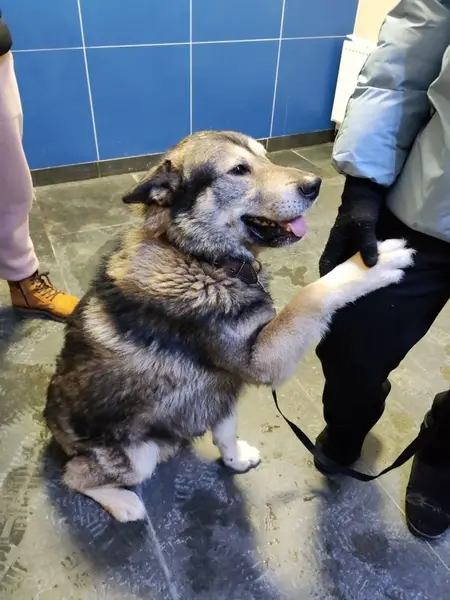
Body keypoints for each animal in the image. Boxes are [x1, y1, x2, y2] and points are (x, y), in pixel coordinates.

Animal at [44, 131, 414, 522]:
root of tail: (53, 432)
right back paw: (123, 503)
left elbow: (225, 431)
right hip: (134, 455)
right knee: (74, 476)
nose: (314, 184)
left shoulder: (225, 388)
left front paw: (235, 460)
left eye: (267, 157)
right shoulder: (262, 361)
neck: (200, 259)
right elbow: (311, 295)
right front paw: (371, 265)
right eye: (239, 170)